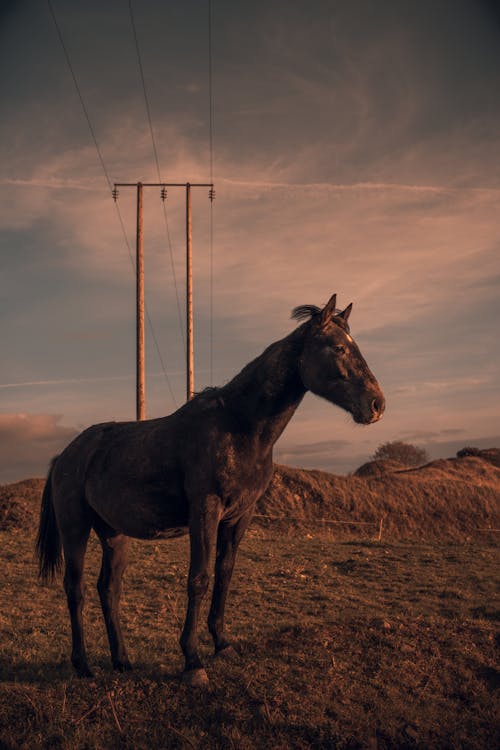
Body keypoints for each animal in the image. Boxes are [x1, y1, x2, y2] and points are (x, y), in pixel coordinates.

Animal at [36, 296, 386, 688]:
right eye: (339, 348)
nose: (377, 404)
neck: (239, 426)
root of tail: (65, 454)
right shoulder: (206, 510)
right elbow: (199, 579)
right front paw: (192, 660)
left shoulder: (240, 515)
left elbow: (224, 574)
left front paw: (222, 644)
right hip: (75, 529)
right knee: (75, 589)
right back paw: (82, 665)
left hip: (114, 534)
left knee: (108, 590)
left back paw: (122, 661)